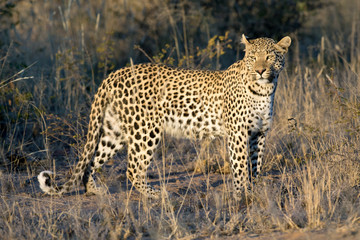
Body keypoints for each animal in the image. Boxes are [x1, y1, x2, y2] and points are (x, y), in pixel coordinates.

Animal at [38, 33, 292, 199]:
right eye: (253, 57)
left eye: (270, 57)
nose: (260, 70)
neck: (264, 90)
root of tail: (114, 74)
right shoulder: (238, 133)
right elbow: (240, 167)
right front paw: (242, 196)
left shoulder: (259, 133)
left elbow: (255, 165)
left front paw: (254, 190)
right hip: (145, 131)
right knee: (133, 169)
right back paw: (156, 195)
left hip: (115, 131)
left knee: (92, 161)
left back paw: (94, 190)